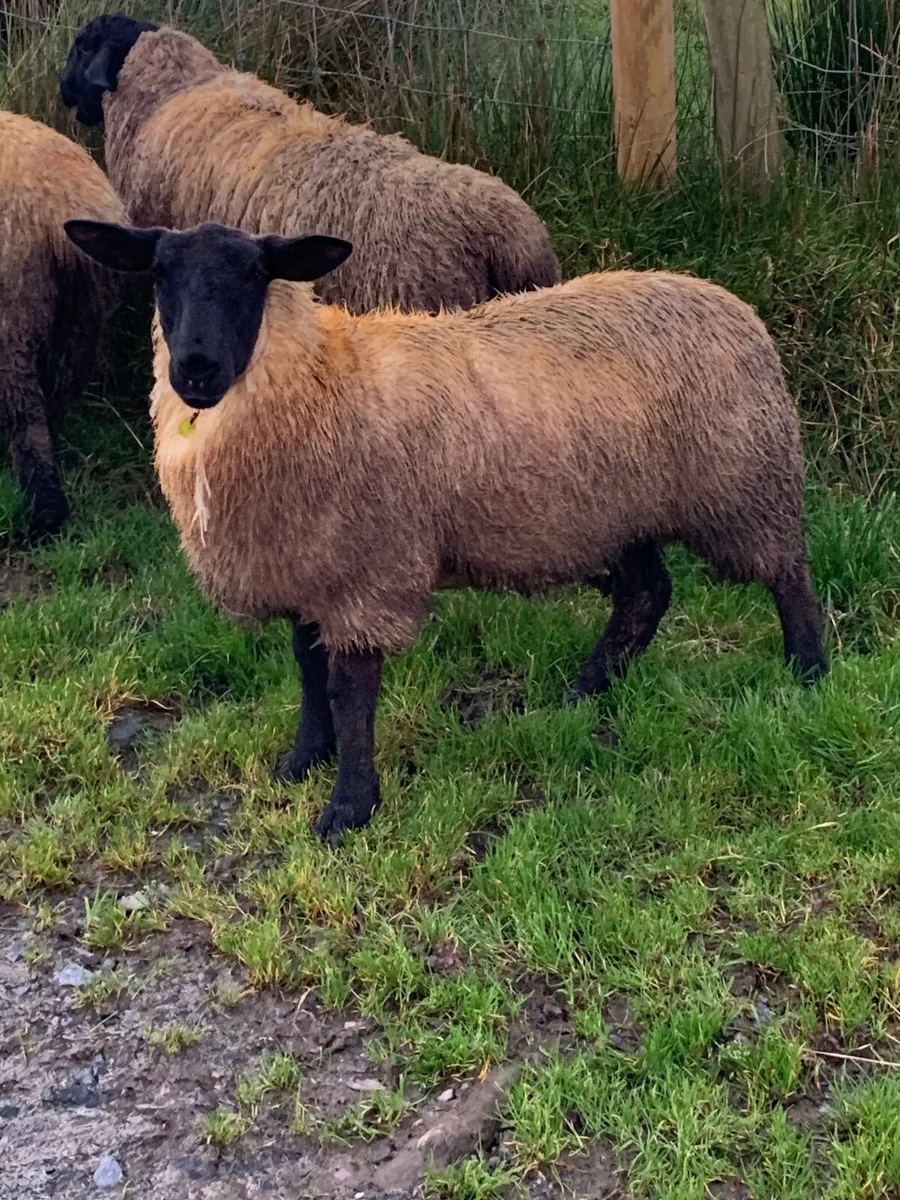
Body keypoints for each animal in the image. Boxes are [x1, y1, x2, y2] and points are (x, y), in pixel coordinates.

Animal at [64, 219, 829, 842]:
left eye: (255, 275)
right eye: (160, 273)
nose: (195, 369)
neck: (320, 377)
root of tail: (729, 302)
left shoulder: (368, 569)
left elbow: (349, 692)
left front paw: (349, 807)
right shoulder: (310, 563)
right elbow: (308, 673)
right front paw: (302, 761)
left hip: (742, 484)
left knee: (787, 572)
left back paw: (809, 673)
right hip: (617, 508)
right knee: (646, 595)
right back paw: (584, 693)